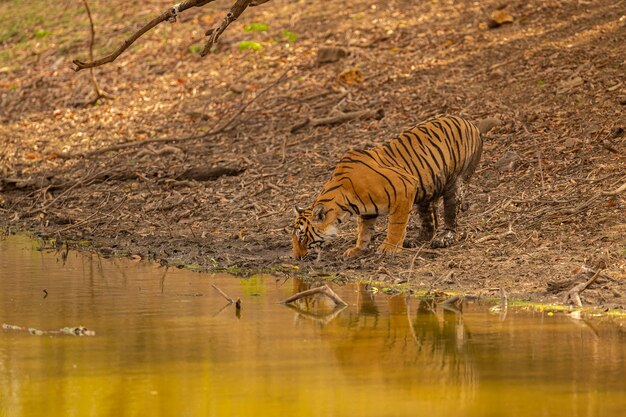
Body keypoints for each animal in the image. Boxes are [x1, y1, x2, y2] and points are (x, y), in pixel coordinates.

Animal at [292, 115, 482, 258]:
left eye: (302, 237)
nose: (296, 257)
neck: (345, 204)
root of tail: (469, 122)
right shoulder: (367, 212)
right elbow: (364, 231)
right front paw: (357, 249)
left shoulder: (405, 188)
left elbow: (396, 225)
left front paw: (388, 248)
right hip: (427, 191)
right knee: (429, 220)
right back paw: (417, 240)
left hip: (455, 182)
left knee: (451, 213)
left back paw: (443, 238)